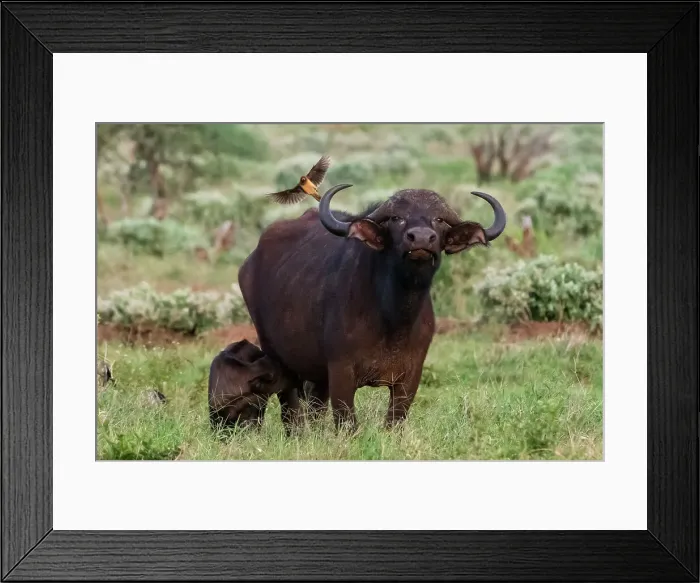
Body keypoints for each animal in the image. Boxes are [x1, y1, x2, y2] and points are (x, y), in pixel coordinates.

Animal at [238, 184, 506, 432]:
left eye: (438, 219)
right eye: (397, 218)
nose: (420, 238)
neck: (394, 319)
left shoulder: (410, 378)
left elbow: (394, 422)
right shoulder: (341, 372)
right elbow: (347, 424)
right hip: (276, 356)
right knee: (291, 410)